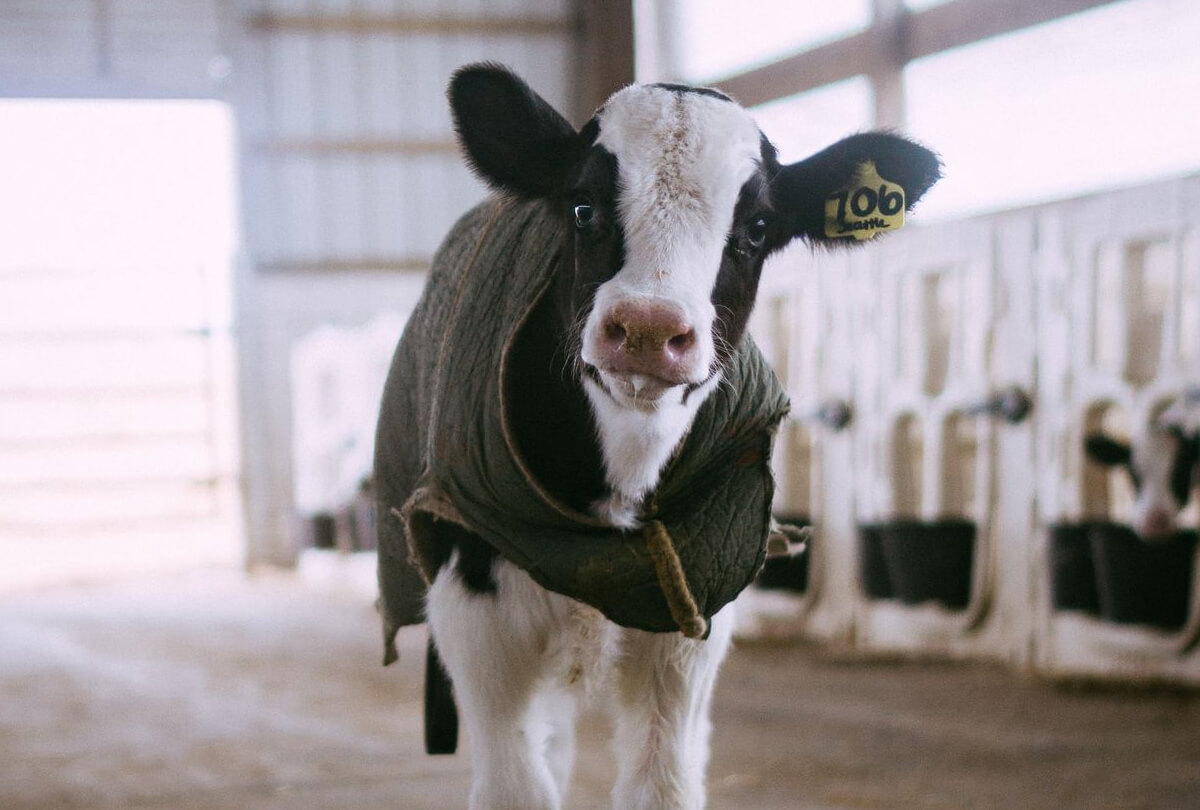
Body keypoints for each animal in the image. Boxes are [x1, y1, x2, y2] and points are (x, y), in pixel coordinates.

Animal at [374, 65, 936, 810]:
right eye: (582, 206)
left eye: (758, 227)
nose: (647, 328)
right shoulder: (475, 606)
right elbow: (516, 787)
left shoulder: (692, 618)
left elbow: (662, 786)